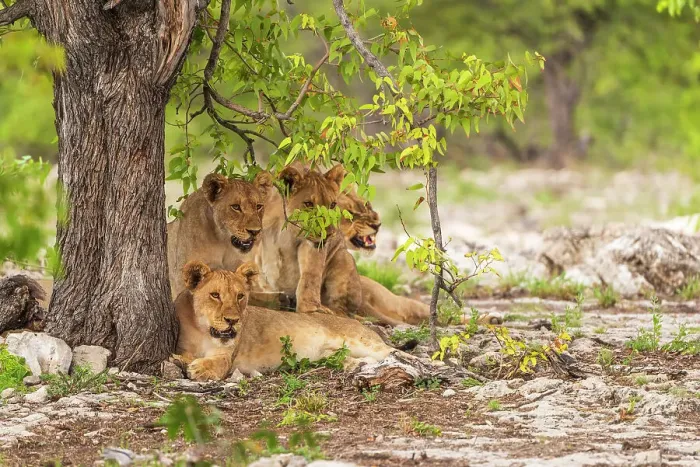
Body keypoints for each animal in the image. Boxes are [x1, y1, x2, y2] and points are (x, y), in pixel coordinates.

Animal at [173, 261, 395, 380]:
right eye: (215, 295)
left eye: (240, 296)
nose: (233, 320)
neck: (203, 330)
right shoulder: (183, 344)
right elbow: (183, 355)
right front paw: (183, 361)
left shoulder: (227, 356)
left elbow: (217, 362)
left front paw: (200, 369)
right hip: (332, 354)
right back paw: (356, 366)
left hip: (362, 341)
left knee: (393, 351)